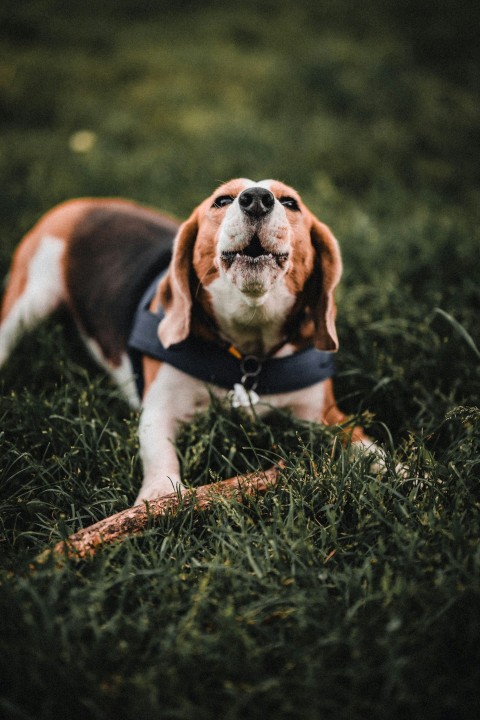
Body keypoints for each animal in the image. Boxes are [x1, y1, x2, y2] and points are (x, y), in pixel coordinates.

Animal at [0, 179, 378, 504]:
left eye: (290, 203)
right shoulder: (160, 409)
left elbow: (363, 442)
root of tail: (82, 204)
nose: (257, 198)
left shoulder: (322, 411)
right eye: (222, 200)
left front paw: (387, 468)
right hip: (31, 296)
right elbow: (159, 452)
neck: (248, 351)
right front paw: (160, 497)